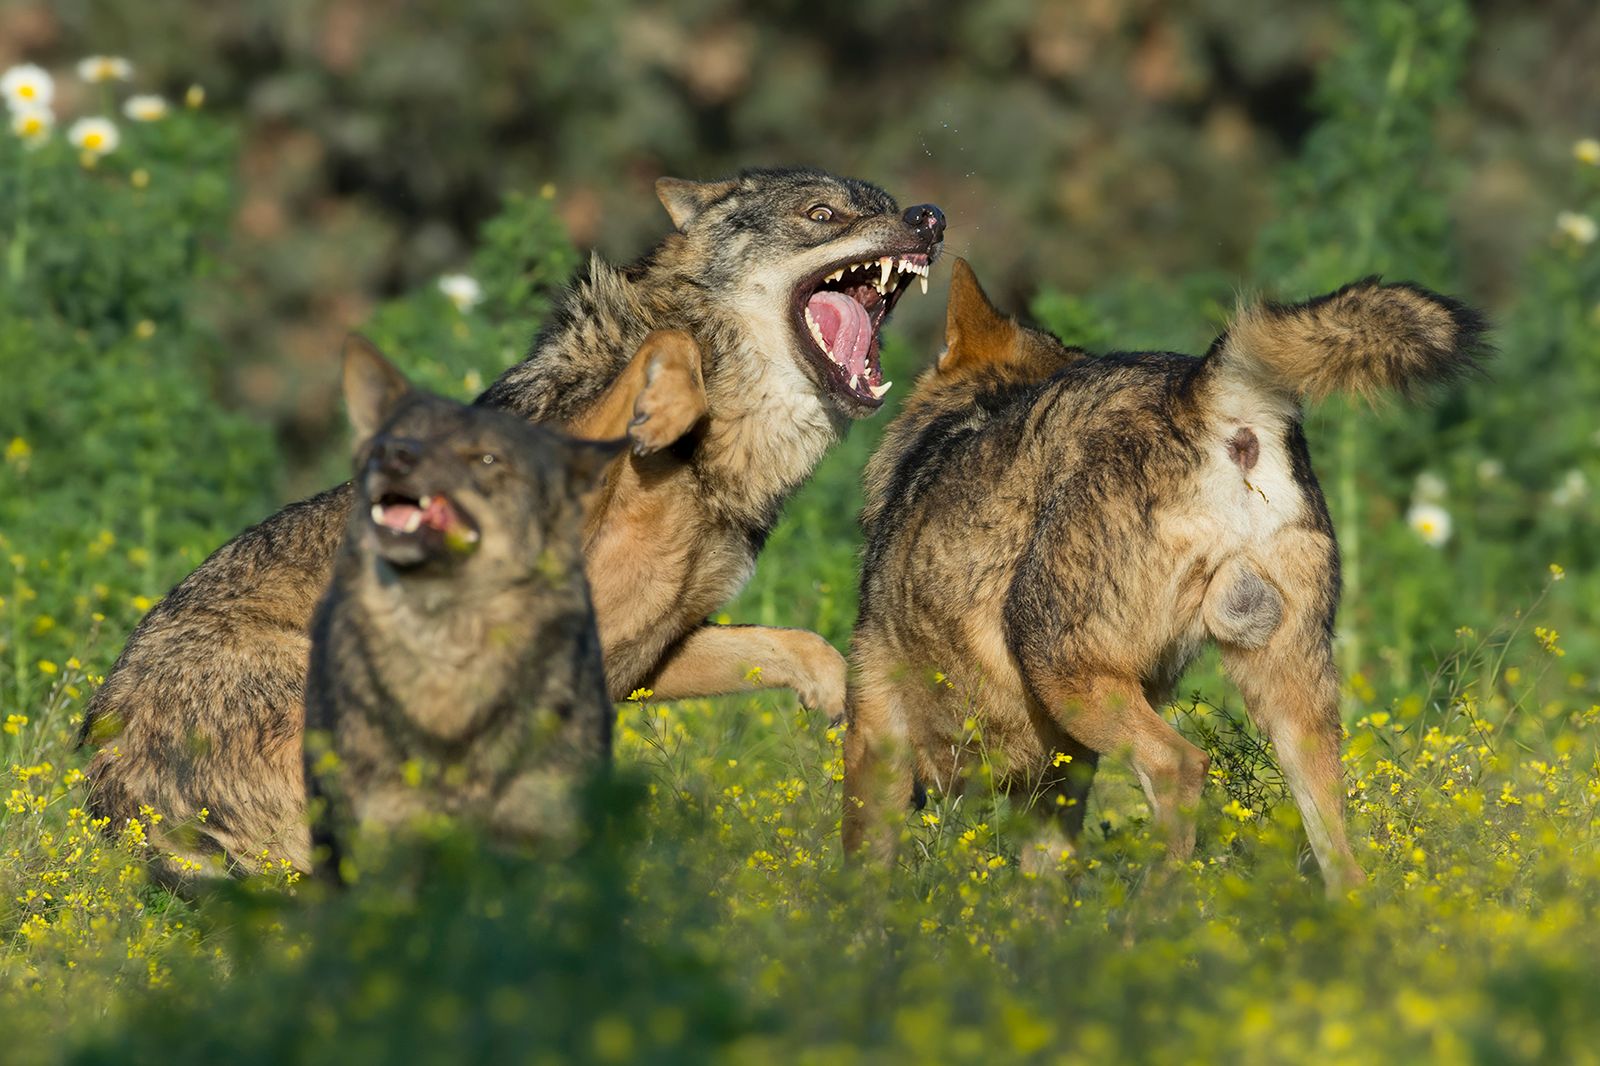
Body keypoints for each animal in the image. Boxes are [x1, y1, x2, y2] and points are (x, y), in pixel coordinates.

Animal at [843, 259, 1487, 894]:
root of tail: (1198, 388)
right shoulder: (1063, 773)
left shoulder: (876, 736)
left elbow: (861, 870)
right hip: (1288, 705)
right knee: (1342, 860)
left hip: (1065, 671)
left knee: (1181, 766)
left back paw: (1152, 909)